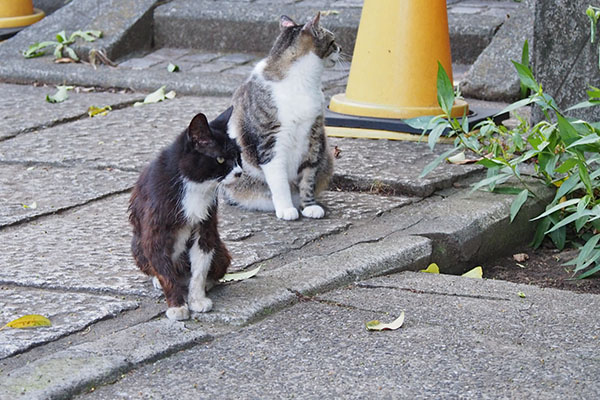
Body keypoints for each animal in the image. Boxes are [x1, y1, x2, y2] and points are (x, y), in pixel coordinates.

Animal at [221, 12, 342, 220]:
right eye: (332, 40)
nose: (341, 48)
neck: (302, 82)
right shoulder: (270, 143)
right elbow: (279, 182)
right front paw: (286, 208)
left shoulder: (314, 138)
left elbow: (308, 178)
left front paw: (309, 205)